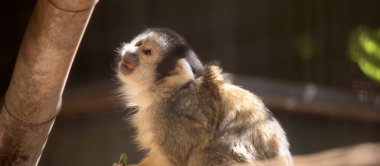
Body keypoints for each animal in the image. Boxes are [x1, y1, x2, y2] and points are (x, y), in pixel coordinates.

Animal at [114, 27, 292, 165]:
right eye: (138, 44)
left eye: (147, 52)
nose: (130, 51)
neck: (167, 90)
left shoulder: (168, 118)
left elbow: (177, 159)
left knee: (203, 153)